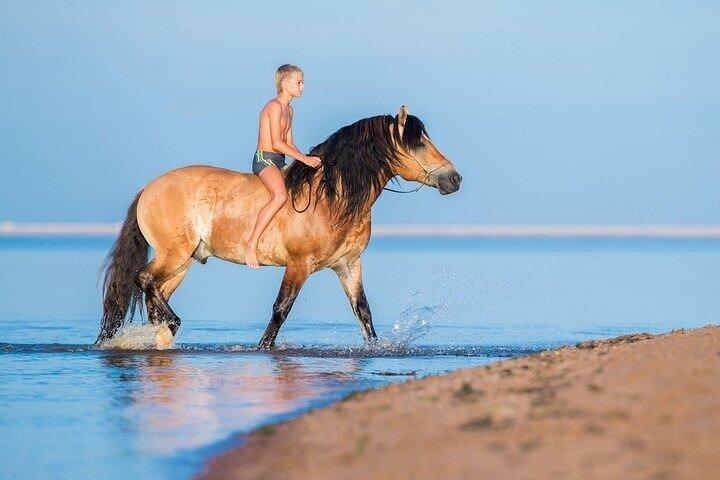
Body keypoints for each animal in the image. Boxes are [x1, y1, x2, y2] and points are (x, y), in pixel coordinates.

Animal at [97, 105, 462, 349]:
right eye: (418, 143)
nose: (454, 179)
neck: (331, 197)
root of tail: (149, 189)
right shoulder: (298, 266)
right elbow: (280, 310)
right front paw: (262, 348)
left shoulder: (348, 265)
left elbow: (363, 312)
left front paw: (375, 348)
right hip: (173, 256)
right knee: (144, 279)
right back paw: (172, 324)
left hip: (182, 264)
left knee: (153, 293)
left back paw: (163, 334)